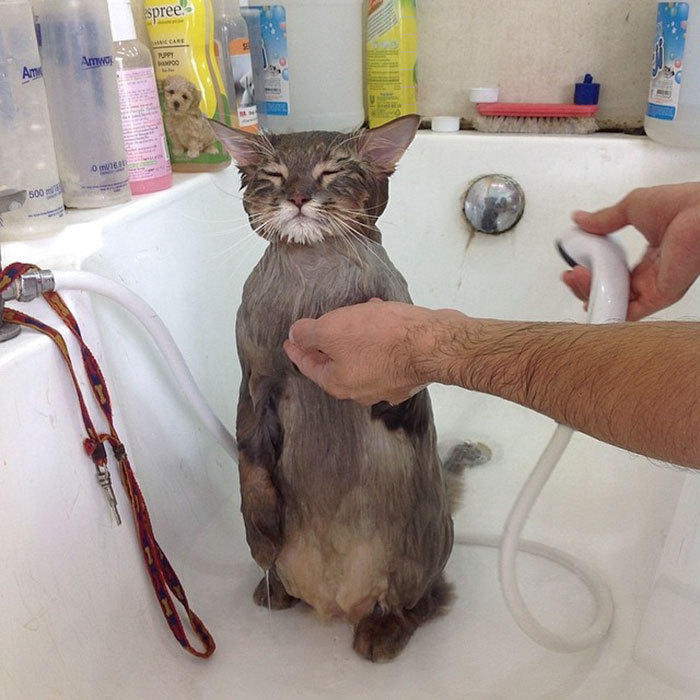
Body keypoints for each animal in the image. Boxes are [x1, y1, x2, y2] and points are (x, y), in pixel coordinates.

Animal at [212, 116, 464, 660]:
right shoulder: (255, 386)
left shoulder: (399, 386)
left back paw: (381, 632)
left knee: (423, 602)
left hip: (423, 549)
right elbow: (251, 476)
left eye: (331, 171)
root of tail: (334, 604)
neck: (312, 288)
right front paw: (261, 539)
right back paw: (274, 589)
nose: (299, 196)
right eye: (275, 173)